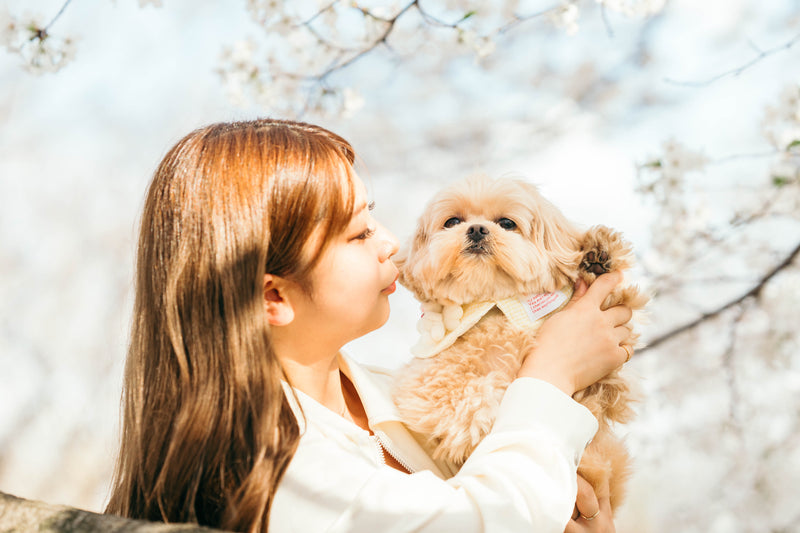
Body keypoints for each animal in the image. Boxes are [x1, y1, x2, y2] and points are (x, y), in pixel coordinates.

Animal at [390, 175, 648, 512]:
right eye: (453, 222)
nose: (476, 229)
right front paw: (490, 413)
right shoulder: (420, 384)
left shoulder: (606, 387)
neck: (495, 305)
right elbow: (463, 396)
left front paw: (598, 256)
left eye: (506, 223)